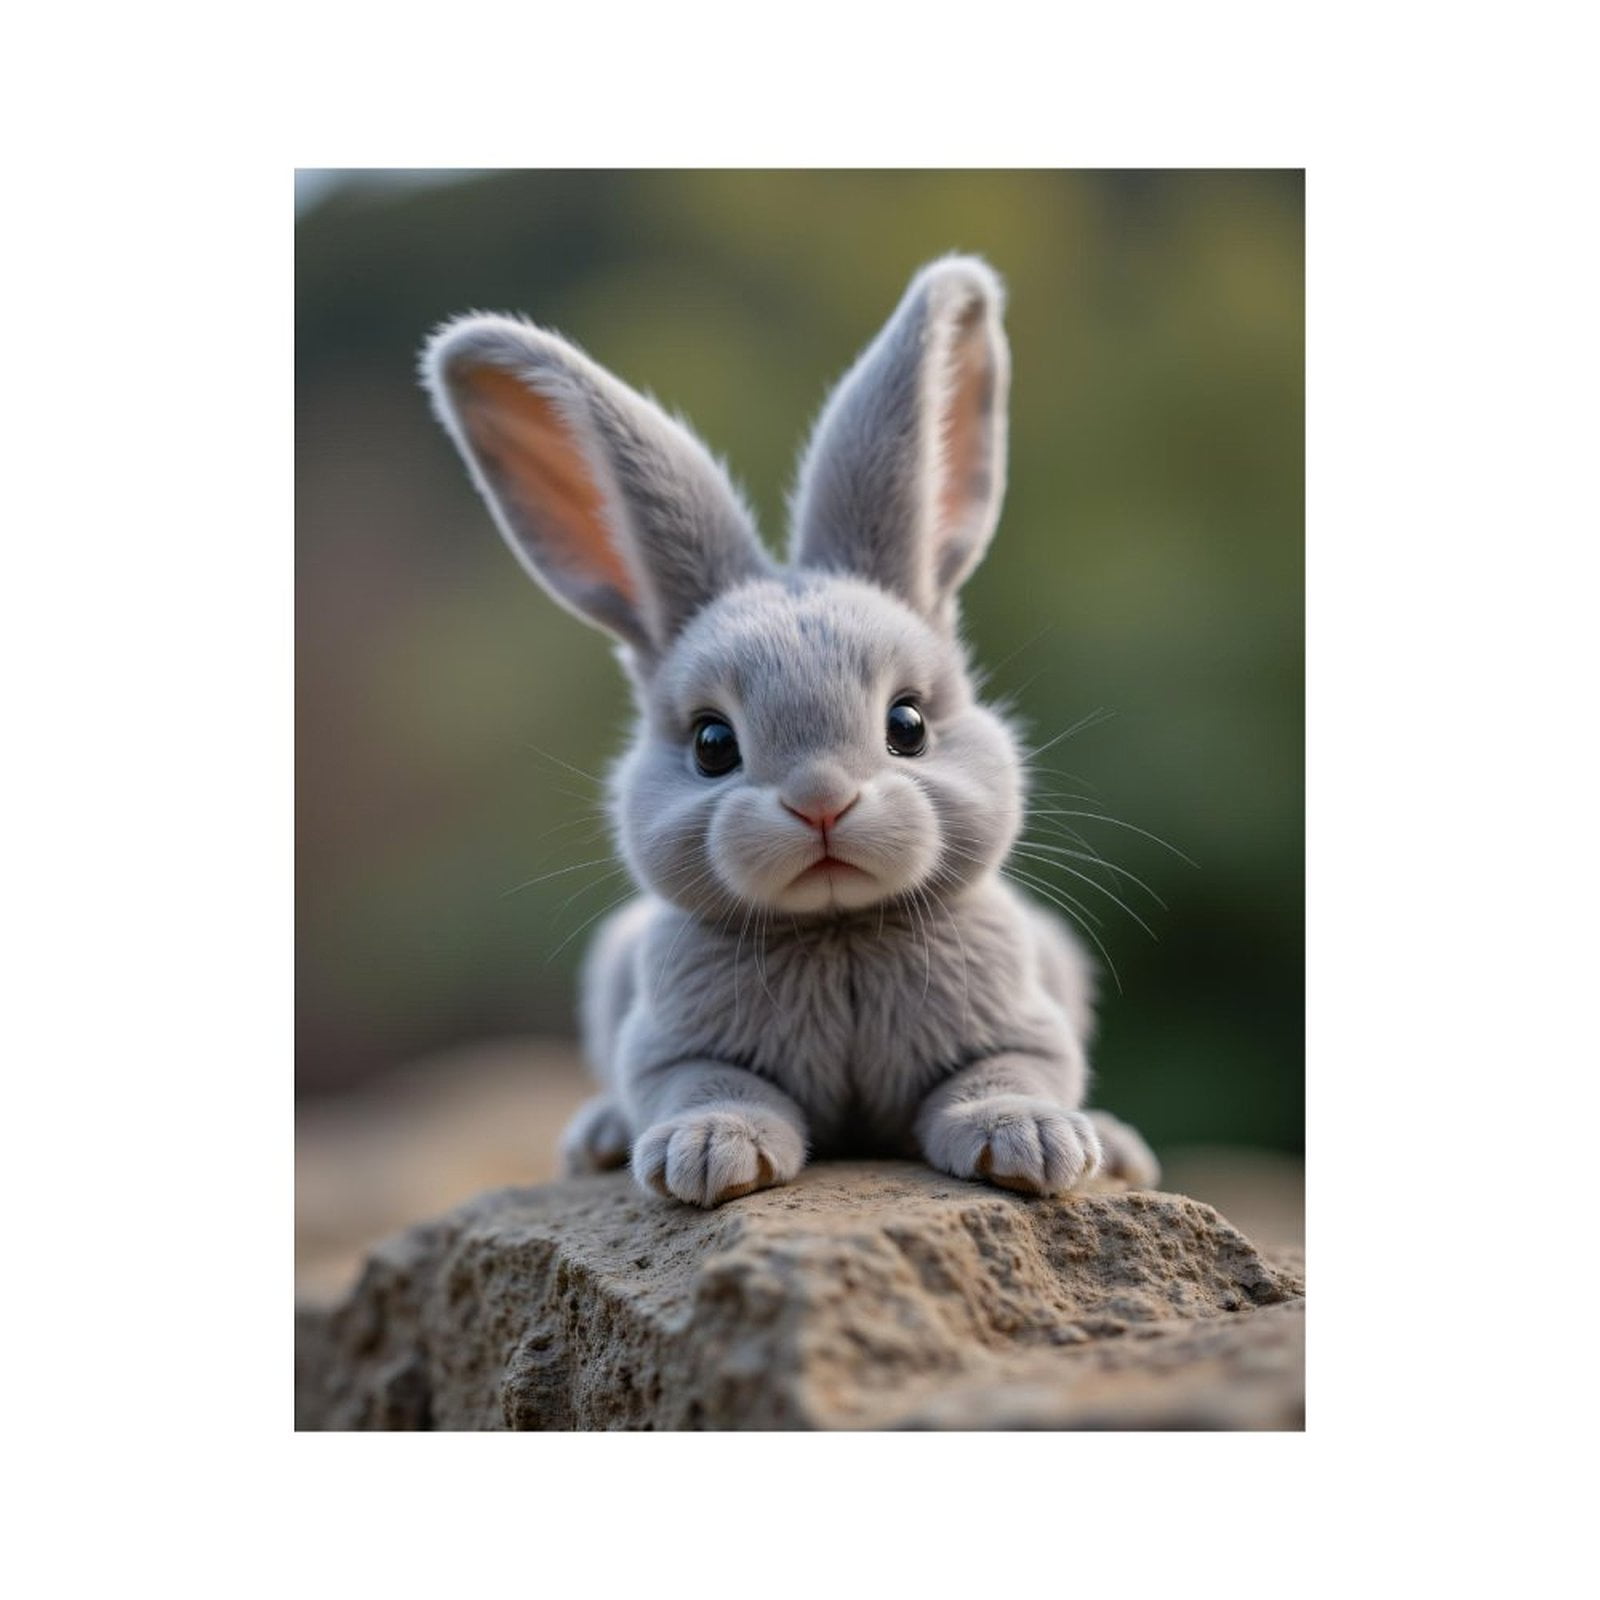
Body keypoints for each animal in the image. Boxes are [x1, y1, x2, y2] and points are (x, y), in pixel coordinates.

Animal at [421, 254, 1160, 1208]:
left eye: (908, 723)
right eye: (712, 745)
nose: (821, 802)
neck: (836, 929)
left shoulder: (1020, 1031)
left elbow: (1001, 1078)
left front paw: (1032, 1144)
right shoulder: (674, 1052)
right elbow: (713, 1089)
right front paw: (705, 1155)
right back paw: (600, 1139)